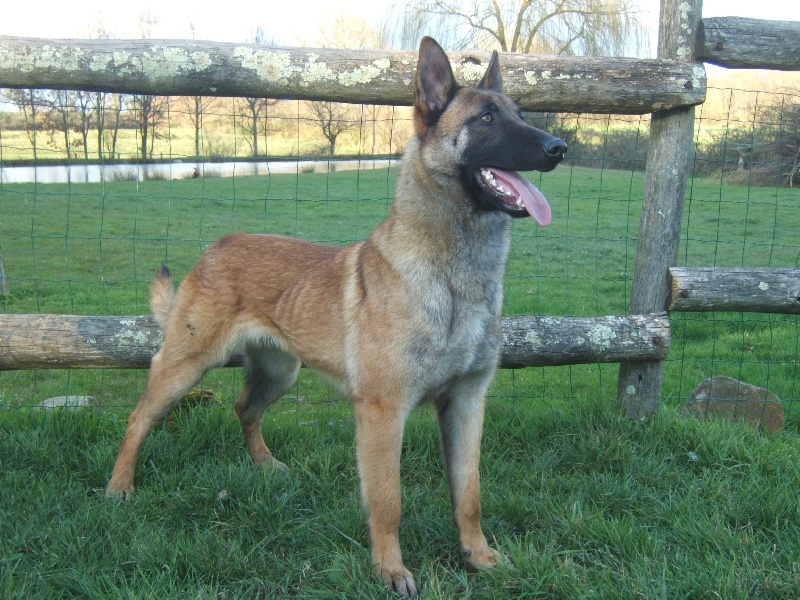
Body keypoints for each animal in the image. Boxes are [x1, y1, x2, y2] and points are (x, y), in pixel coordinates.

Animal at [106, 36, 564, 596]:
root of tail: (218, 245)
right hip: (185, 367)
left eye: (520, 114)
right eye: (486, 119)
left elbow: (469, 493)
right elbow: (388, 501)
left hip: (280, 373)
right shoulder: (383, 413)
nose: (559, 148)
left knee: (244, 409)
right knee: (138, 419)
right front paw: (390, 570)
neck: (456, 278)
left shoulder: (466, 403)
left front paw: (477, 556)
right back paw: (119, 487)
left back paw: (265, 465)